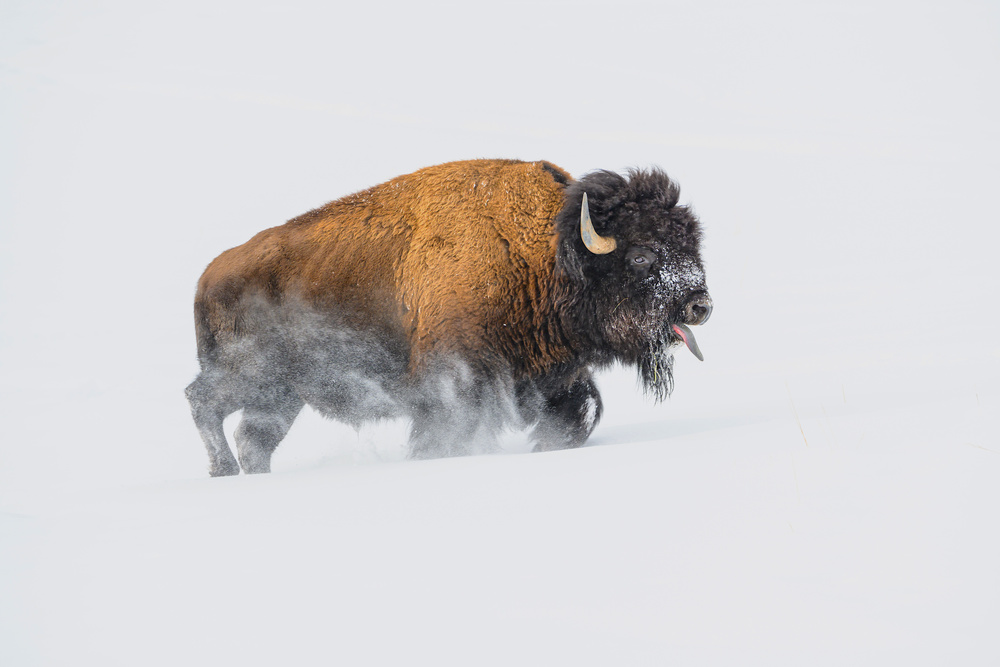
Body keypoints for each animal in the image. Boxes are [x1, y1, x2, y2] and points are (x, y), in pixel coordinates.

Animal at [186, 160, 712, 478]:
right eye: (642, 255)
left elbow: (577, 416)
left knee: (254, 438)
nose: (700, 305)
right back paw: (222, 470)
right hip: (251, 376)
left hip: (282, 396)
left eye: (691, 245)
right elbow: (445, 434)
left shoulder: (555, 378)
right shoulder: (455, 382)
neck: (544, 254)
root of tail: (208, 277)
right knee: (201, 400)